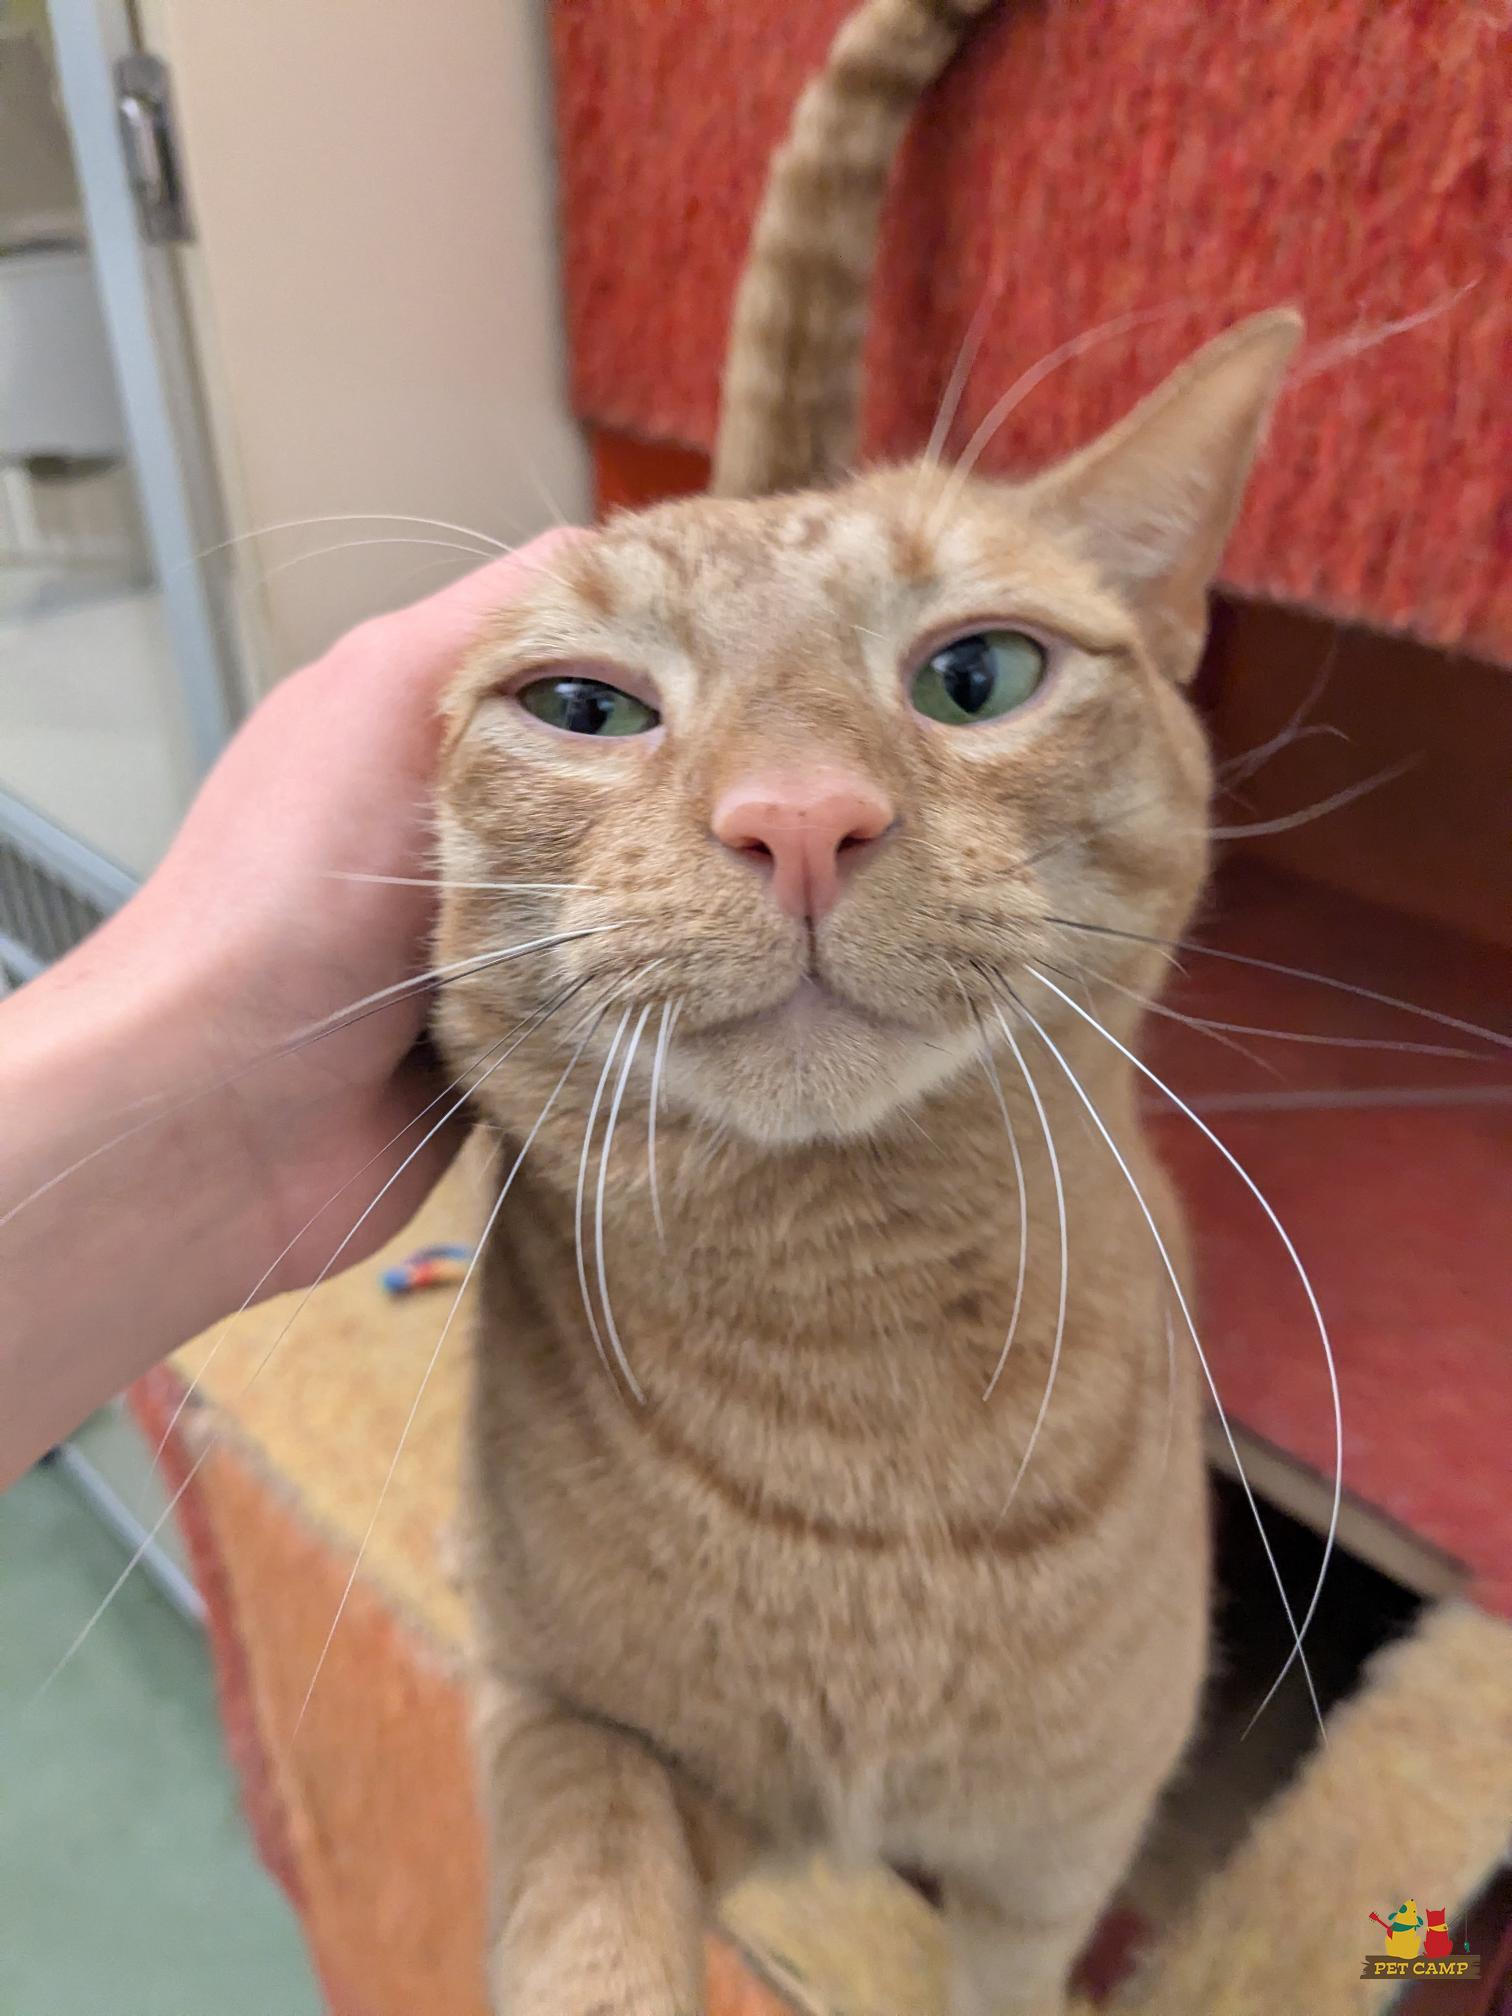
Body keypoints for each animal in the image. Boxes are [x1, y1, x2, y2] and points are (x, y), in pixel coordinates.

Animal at [431, 0, 1301, 2009]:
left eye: (976, 676)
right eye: (583, 709)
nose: (800, 818)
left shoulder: (1052, 1860)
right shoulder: (564, 1722)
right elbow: (586, 1915)